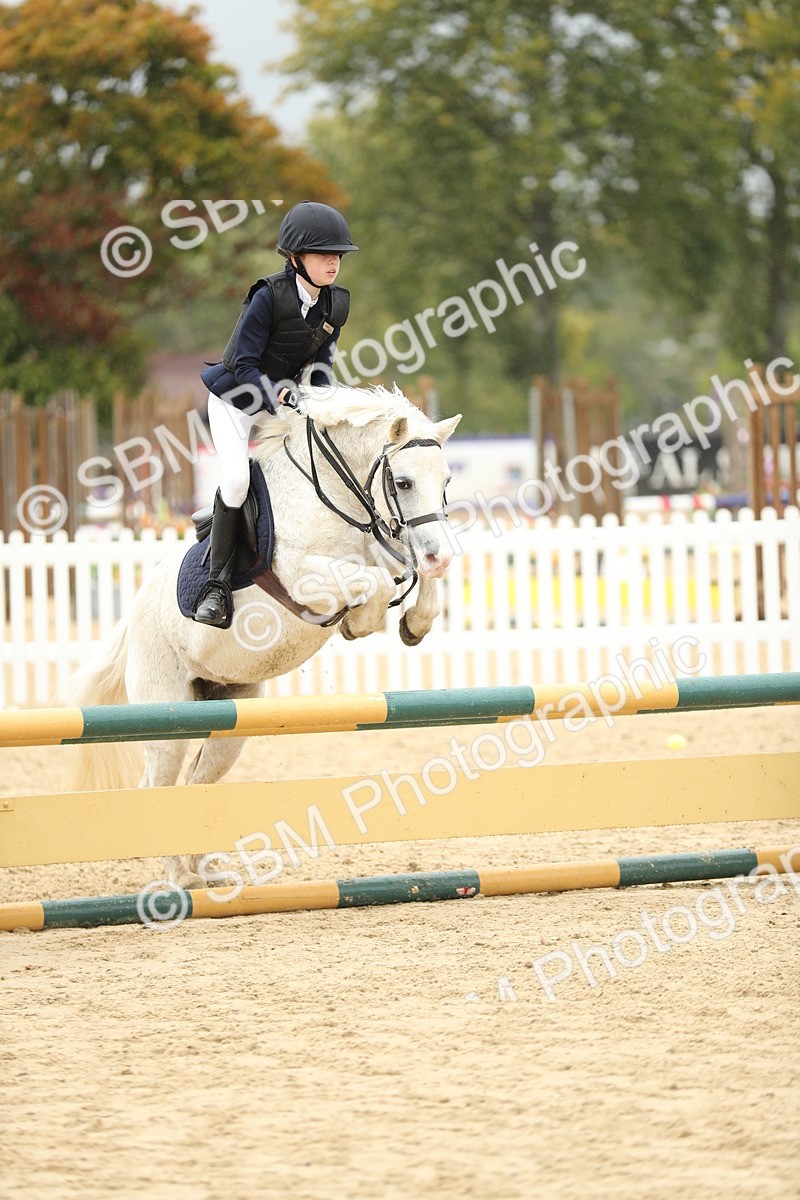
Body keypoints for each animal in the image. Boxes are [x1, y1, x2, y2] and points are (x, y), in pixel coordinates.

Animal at [70, 383, 461, 885]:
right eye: (405, 483)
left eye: (446, 481)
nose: (441, 556)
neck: (335, 497)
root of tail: (133, 614)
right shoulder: (307, 579)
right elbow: (372, 584)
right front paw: (358, 623)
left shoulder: (390, 547)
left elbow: (412, 582)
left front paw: (412, 623)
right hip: (166, 714)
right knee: (159, 783)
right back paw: (180, 879)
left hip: (229, 717)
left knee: (196, 781)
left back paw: (204, 874)